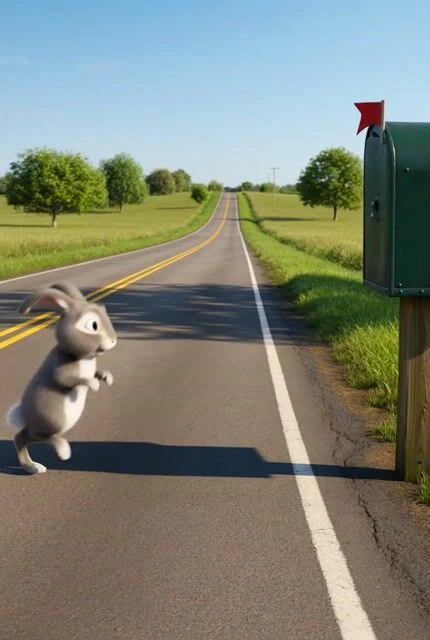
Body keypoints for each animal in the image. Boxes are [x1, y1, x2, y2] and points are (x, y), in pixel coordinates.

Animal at [6, 281, 117, 474]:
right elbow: (65, 379)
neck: (84, 357)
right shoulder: (61, 367)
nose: (113, 340)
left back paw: (32, 467)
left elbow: (96, 373)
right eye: (93, 325)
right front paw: (93, 384)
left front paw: (106, 377)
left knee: (21, 437)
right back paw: (62, 451)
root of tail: (22, 415)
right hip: (49, 422)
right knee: (43, 437)